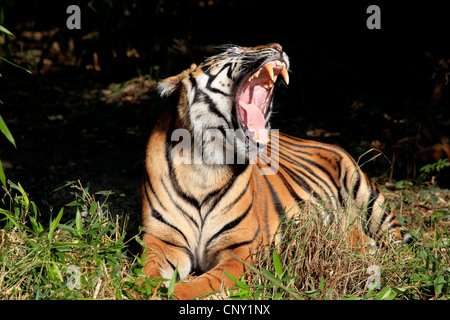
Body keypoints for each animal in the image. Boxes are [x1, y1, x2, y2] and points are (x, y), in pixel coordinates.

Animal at [140, 43, 412, 300]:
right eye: (231, 50)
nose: (278, 46)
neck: (205, 166)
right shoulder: (162, 241)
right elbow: (147, 274)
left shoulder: (240, 250)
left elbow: (202, 284)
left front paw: (173, 293)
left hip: (367, 194)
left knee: (397, 242)